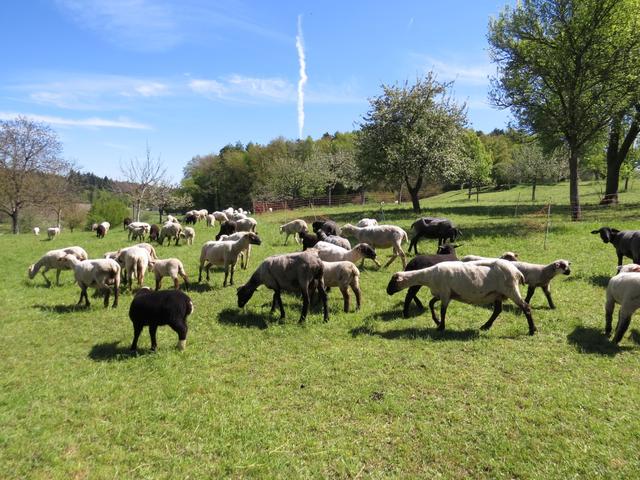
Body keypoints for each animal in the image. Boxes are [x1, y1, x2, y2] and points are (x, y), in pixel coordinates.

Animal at [384, 260, 536, 336]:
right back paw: (485, 326)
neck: (428, 276)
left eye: (392, 281)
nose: (387, 291)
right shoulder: (443, 294)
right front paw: (437, 321)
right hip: (497, 293)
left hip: (510, 290)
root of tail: (518, 272)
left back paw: (532, 330)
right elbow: (431, 304)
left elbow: (442, 311)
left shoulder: (445, 294)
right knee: (497, 310)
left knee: (526, 307)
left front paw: (441, 326)